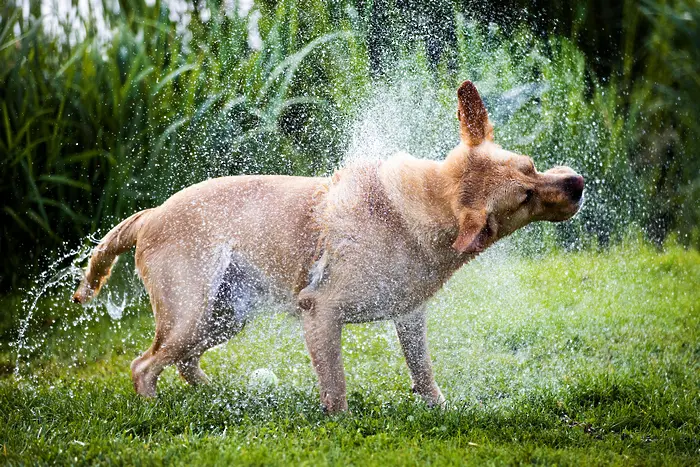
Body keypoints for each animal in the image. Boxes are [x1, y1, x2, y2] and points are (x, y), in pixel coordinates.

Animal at [72, 80, 584, 414]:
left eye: (531, 165)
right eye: (526, 195)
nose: (577, 183)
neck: (419, 211)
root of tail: (151, 213)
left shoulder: (409, 315)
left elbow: (423, 373)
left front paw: (440, 409)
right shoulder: (321, 312)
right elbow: (335, 387)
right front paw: (341, 424)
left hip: (225, 314)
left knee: (183, 362)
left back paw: (220, 394)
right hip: (190, 312)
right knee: (144, 365)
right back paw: (156, 409)